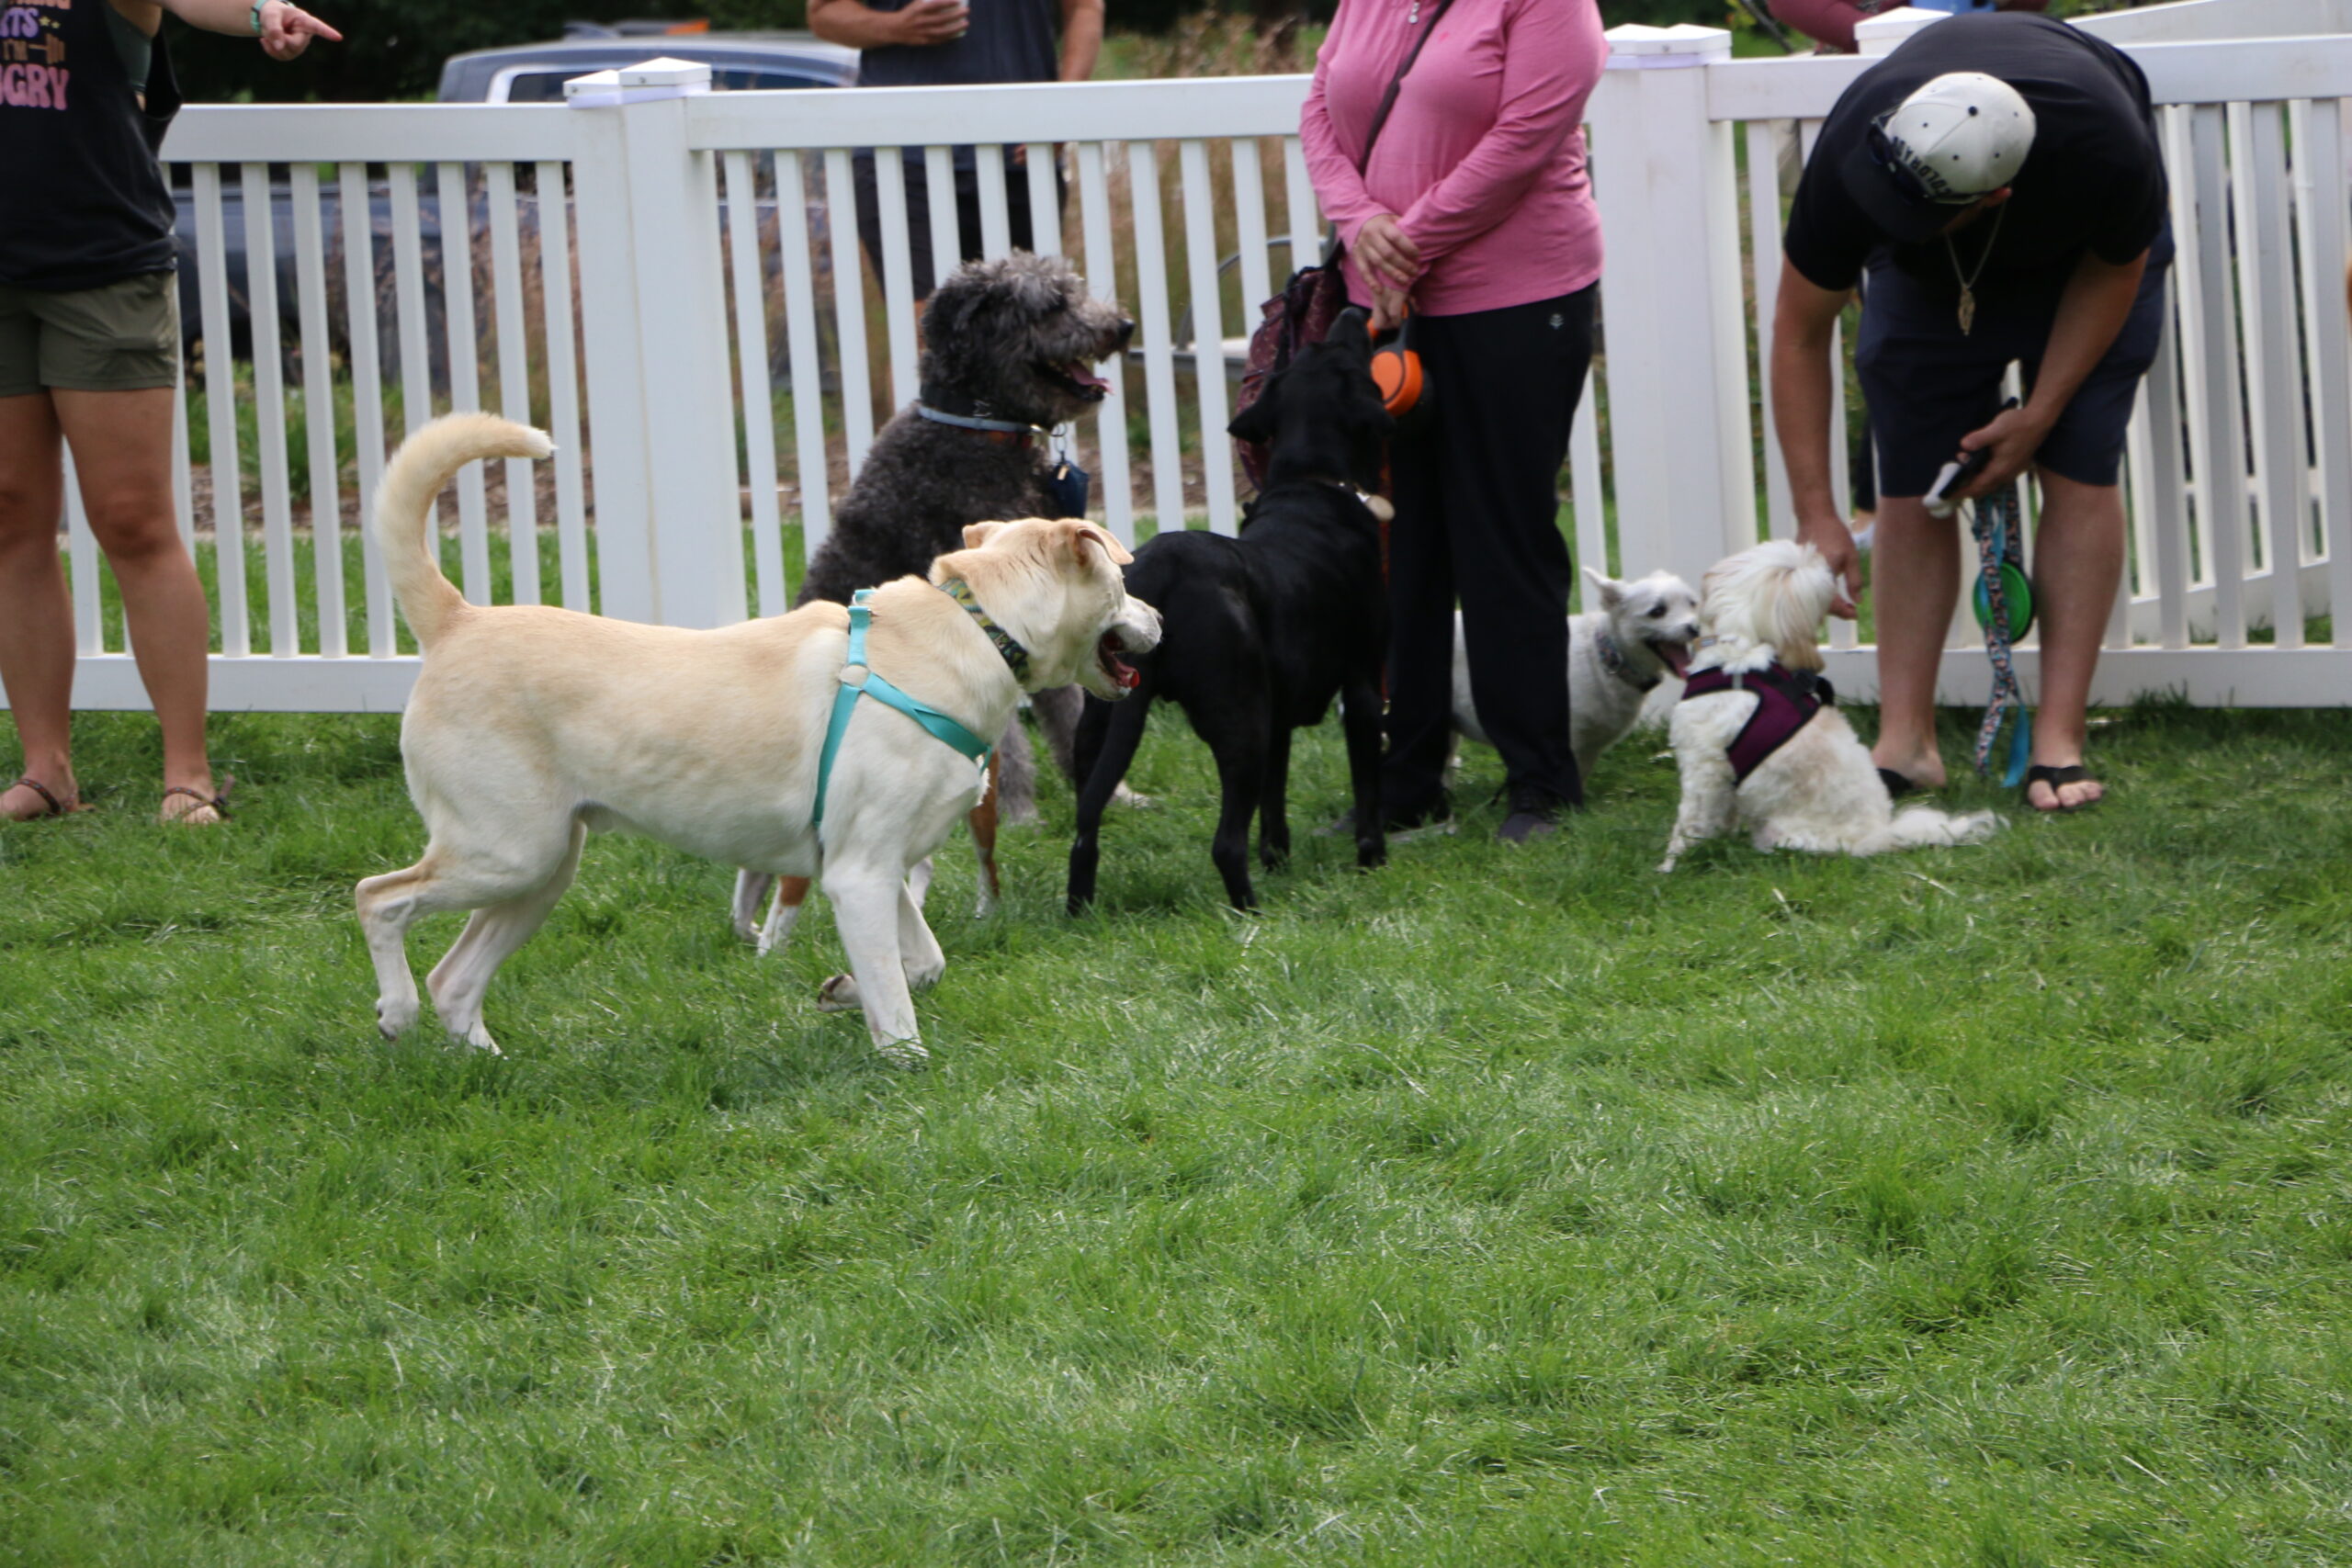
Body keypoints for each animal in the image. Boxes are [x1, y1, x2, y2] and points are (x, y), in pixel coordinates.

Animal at [355, 413, 1160, 1066]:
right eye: (1124, 581)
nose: (1157, 620)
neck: (976, 626)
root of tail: (457, 620)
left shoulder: (875, 863)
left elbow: (921, 963)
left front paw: (841, 991)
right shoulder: (859, 875)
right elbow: (899, 1002)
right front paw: (904, 1059)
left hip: (542, 869)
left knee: (455, 979)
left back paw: (489, 1066)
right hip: (505, 853)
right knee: (379, 899)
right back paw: (394, 1012)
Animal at [732, 251, 1135, 950]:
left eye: (1075, 288)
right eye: (1051, 303)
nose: (1122, 326)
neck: (980, 432)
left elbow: (1067, 710)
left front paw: (1107, 794)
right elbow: (1013, 739)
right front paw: (1021, 810)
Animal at [1067, 306, 1394, 913]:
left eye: (1311, 349)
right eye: (1346, 355)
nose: (1353, 310)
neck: (1310, 482)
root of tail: (1161, 570)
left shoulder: (1280, 717)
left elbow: (1275, 808)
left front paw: (1281, 862)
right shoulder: (1363, 688)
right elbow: (1367, 791)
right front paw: (1372, 861)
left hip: (1097, 729)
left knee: (1084, 832)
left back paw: (1080, 914)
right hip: (1241, 722)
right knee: (1225, 844)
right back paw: (1252, 912)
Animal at [1658, 539, 1996, 871]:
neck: (1740, 647)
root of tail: (1880, 833)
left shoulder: (1705, 767)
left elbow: (1691, 821)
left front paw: (1673, 862)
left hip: (1784, 832)